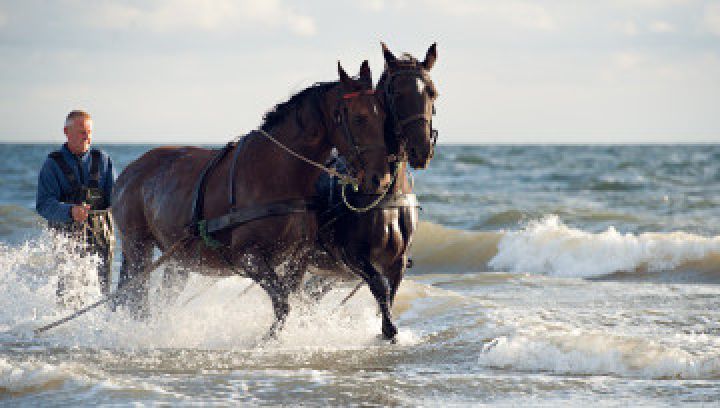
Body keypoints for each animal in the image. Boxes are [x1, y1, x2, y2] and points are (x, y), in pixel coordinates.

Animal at [111, 60, 394, 340]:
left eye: (384, 117)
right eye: (359, 118)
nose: (380, 179)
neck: (278, 173)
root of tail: (128, 172)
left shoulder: (298, 257)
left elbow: (291, 299)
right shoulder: (249, 257)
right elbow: (282, 302)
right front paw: (268, 339)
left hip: (178, 258)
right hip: (138, 246)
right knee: (137, 299)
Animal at [306, 42, 438, 342]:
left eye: (432, 91)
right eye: (396, 93)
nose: (421, 150)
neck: (385, 195)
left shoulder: (397, 261)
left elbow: (389, 292)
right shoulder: (351, 256)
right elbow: (379, 287)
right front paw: (388, 330)